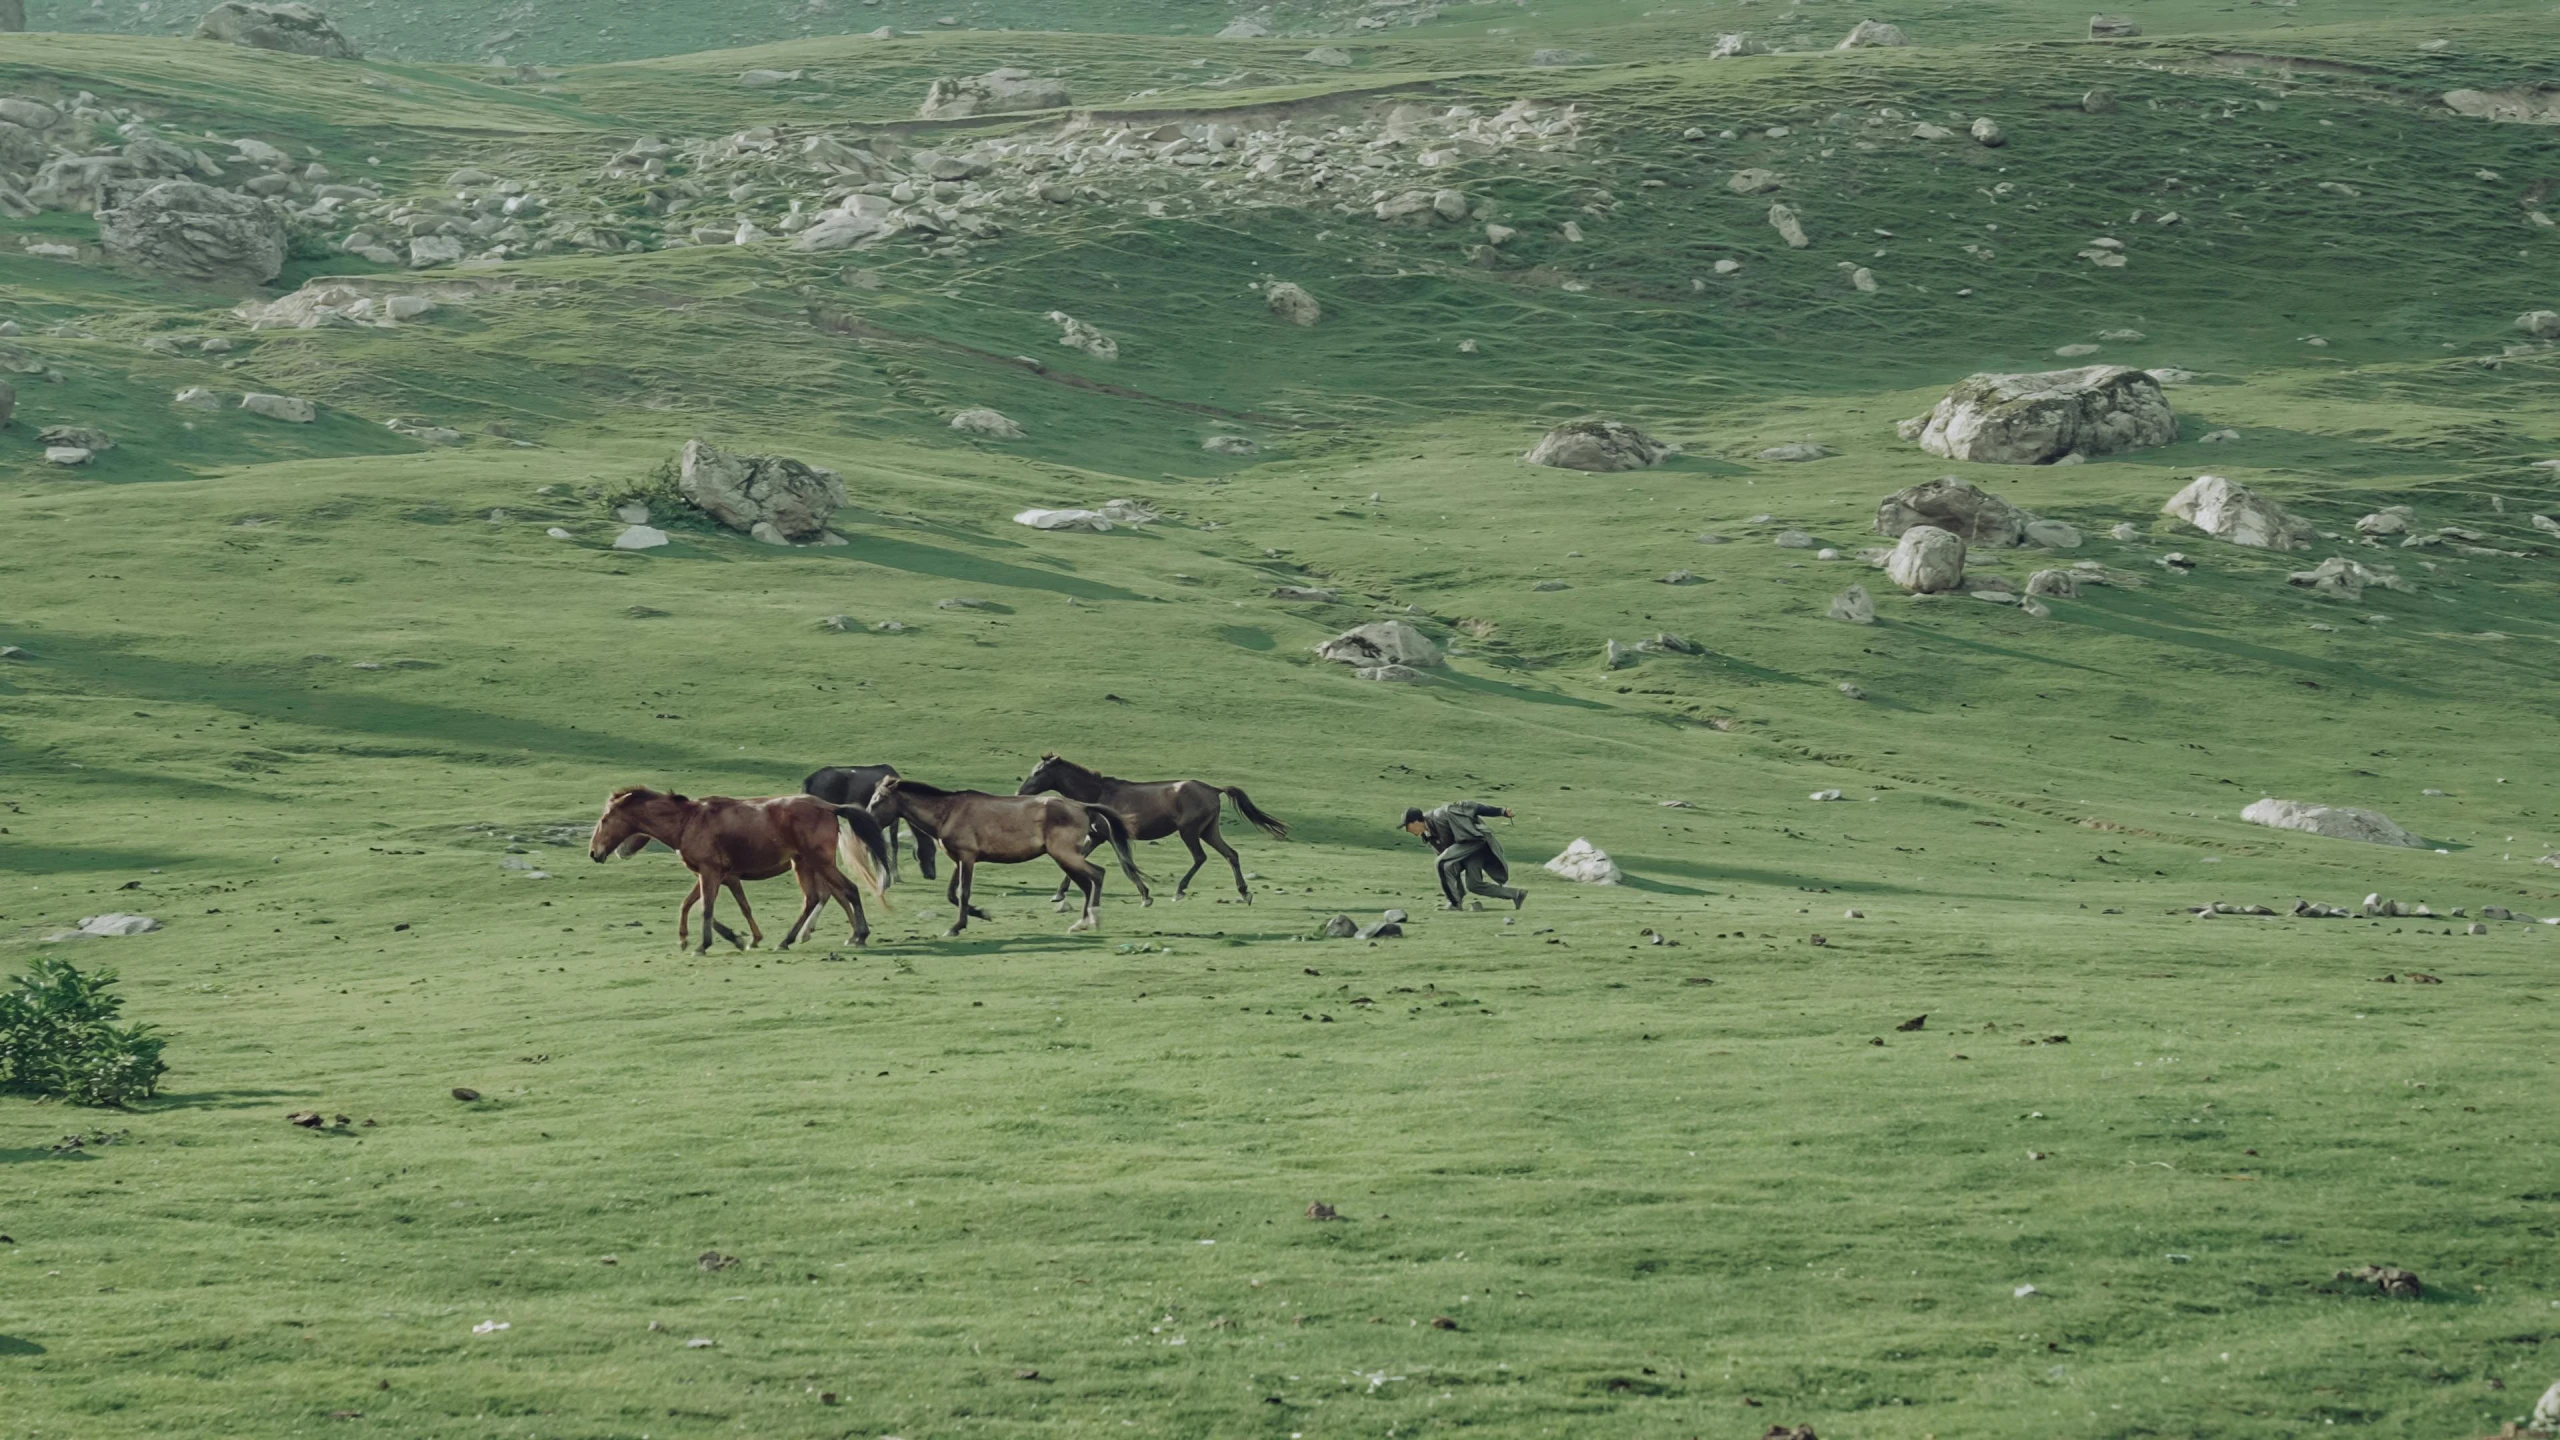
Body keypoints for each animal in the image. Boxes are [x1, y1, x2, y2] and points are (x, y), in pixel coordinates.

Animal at [593, 784, 896, 953]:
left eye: (605, 819)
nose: (594, 852)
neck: (688, 822)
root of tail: (829, 807)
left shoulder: (711, 873)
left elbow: (706, 909)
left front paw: (704, 944)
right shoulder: (715, 875)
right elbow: (694, 905)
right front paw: (696, 939)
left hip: (819, 862)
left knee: (848, 891)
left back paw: (859, 935)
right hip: (804, 863)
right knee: (815, 898)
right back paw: (788, 939)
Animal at [870, 773, 1152, 932]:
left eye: (878, 801)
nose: (866, 821)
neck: (948, 812)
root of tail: (1081, 806)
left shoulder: (968, 858)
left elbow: (963, 892)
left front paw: (958, 926)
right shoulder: (958, 860)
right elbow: (951, 894)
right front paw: (981, 914)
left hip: (1065, 855)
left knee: (1097, 875)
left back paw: (1092, 919)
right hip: (1066, 858)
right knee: (1086, 883)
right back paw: (1081, 922)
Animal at [1013, 753, 1290, 896]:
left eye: (1039, 772)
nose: (1019, 793)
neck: (1098, 794)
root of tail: (1213, 789)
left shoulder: (1111, 836)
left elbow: (1126, 864)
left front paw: (1144, 892)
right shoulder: (1097, 836)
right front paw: (1059, 893)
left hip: (1190, 831)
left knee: (1200, 857)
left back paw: (1180, 889)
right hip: (1209, 831)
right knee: (1231, 854)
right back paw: (1244, 891)